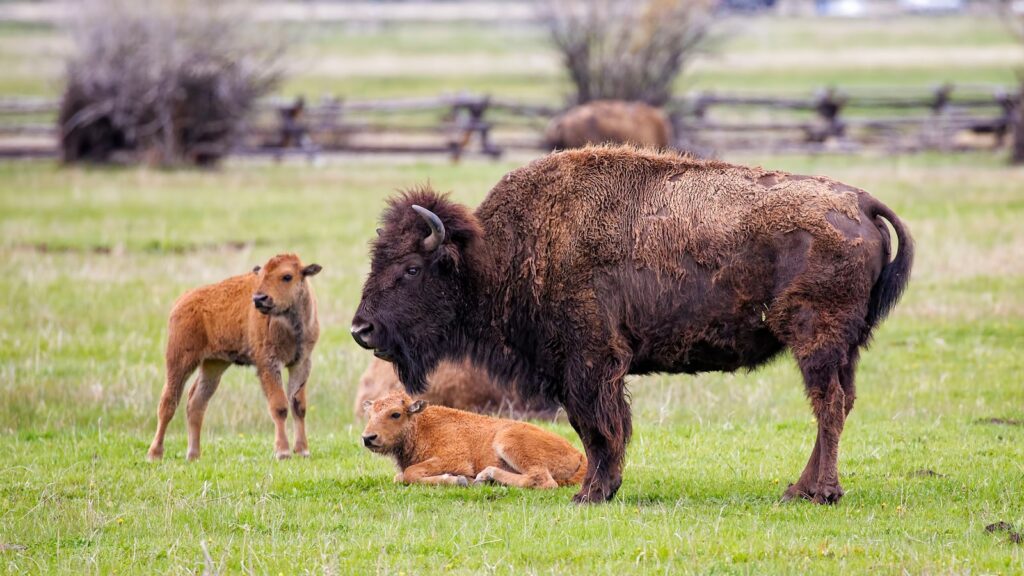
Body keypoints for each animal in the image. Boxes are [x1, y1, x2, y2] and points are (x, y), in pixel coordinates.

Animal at [352, 145, 913, 504]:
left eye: (411, 268)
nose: (362, 331)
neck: (498, 250)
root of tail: (860, 202)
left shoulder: (589, 363)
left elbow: (598, 427)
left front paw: (592, 493)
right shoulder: (583, 369)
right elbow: (601, 427)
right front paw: (602, 488)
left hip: (816, 339)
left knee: (828, 405)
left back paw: (819, 493)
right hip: (844, 347)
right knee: (839, 403)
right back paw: (798, 489)